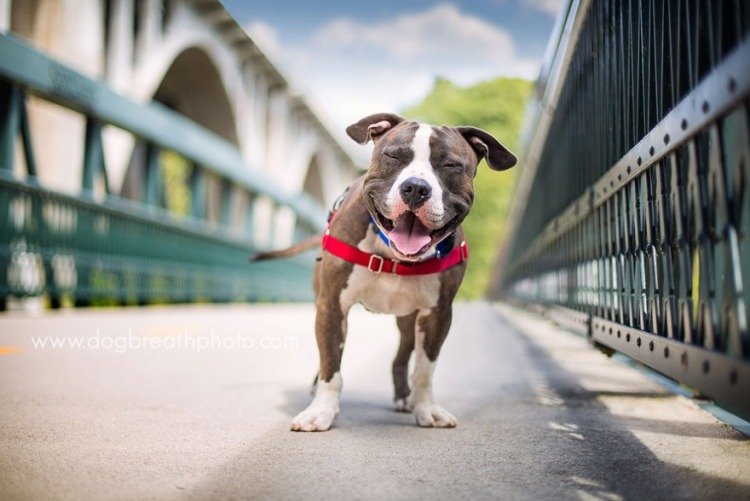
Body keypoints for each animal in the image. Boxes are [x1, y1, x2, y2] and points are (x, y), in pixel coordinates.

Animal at [253, 113, 516, 430]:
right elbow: (331, 365)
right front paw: (322, 411)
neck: (393, 255)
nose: (416, 187)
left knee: (401, 358)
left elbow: (425, 369)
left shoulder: (438, 314)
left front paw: (426, 409)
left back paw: (405, 398)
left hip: (408, 320)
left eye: (451, 165)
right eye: (393, 156)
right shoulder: (331, 305)